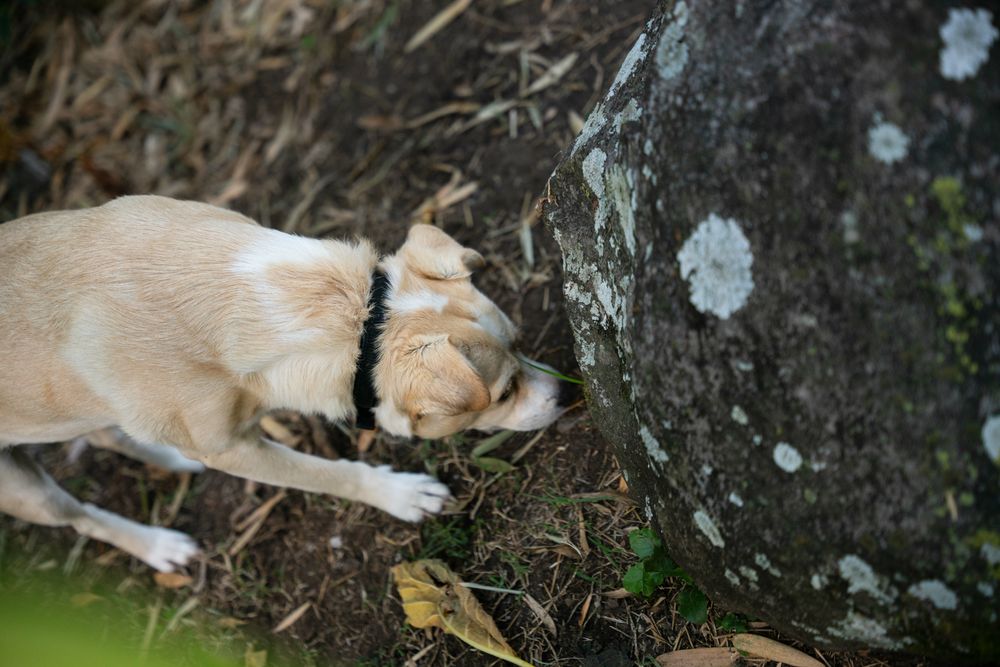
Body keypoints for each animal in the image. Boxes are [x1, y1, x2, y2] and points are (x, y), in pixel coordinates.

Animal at [0, 195, 564, 572]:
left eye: (521, 343)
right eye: (505, 393)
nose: (569, 394)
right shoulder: (234, 450)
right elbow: (330, 474)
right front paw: (400, 494)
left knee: (102, 433)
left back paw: (170, 460)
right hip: (26, 492)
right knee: (81, 516)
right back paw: (160, 547)